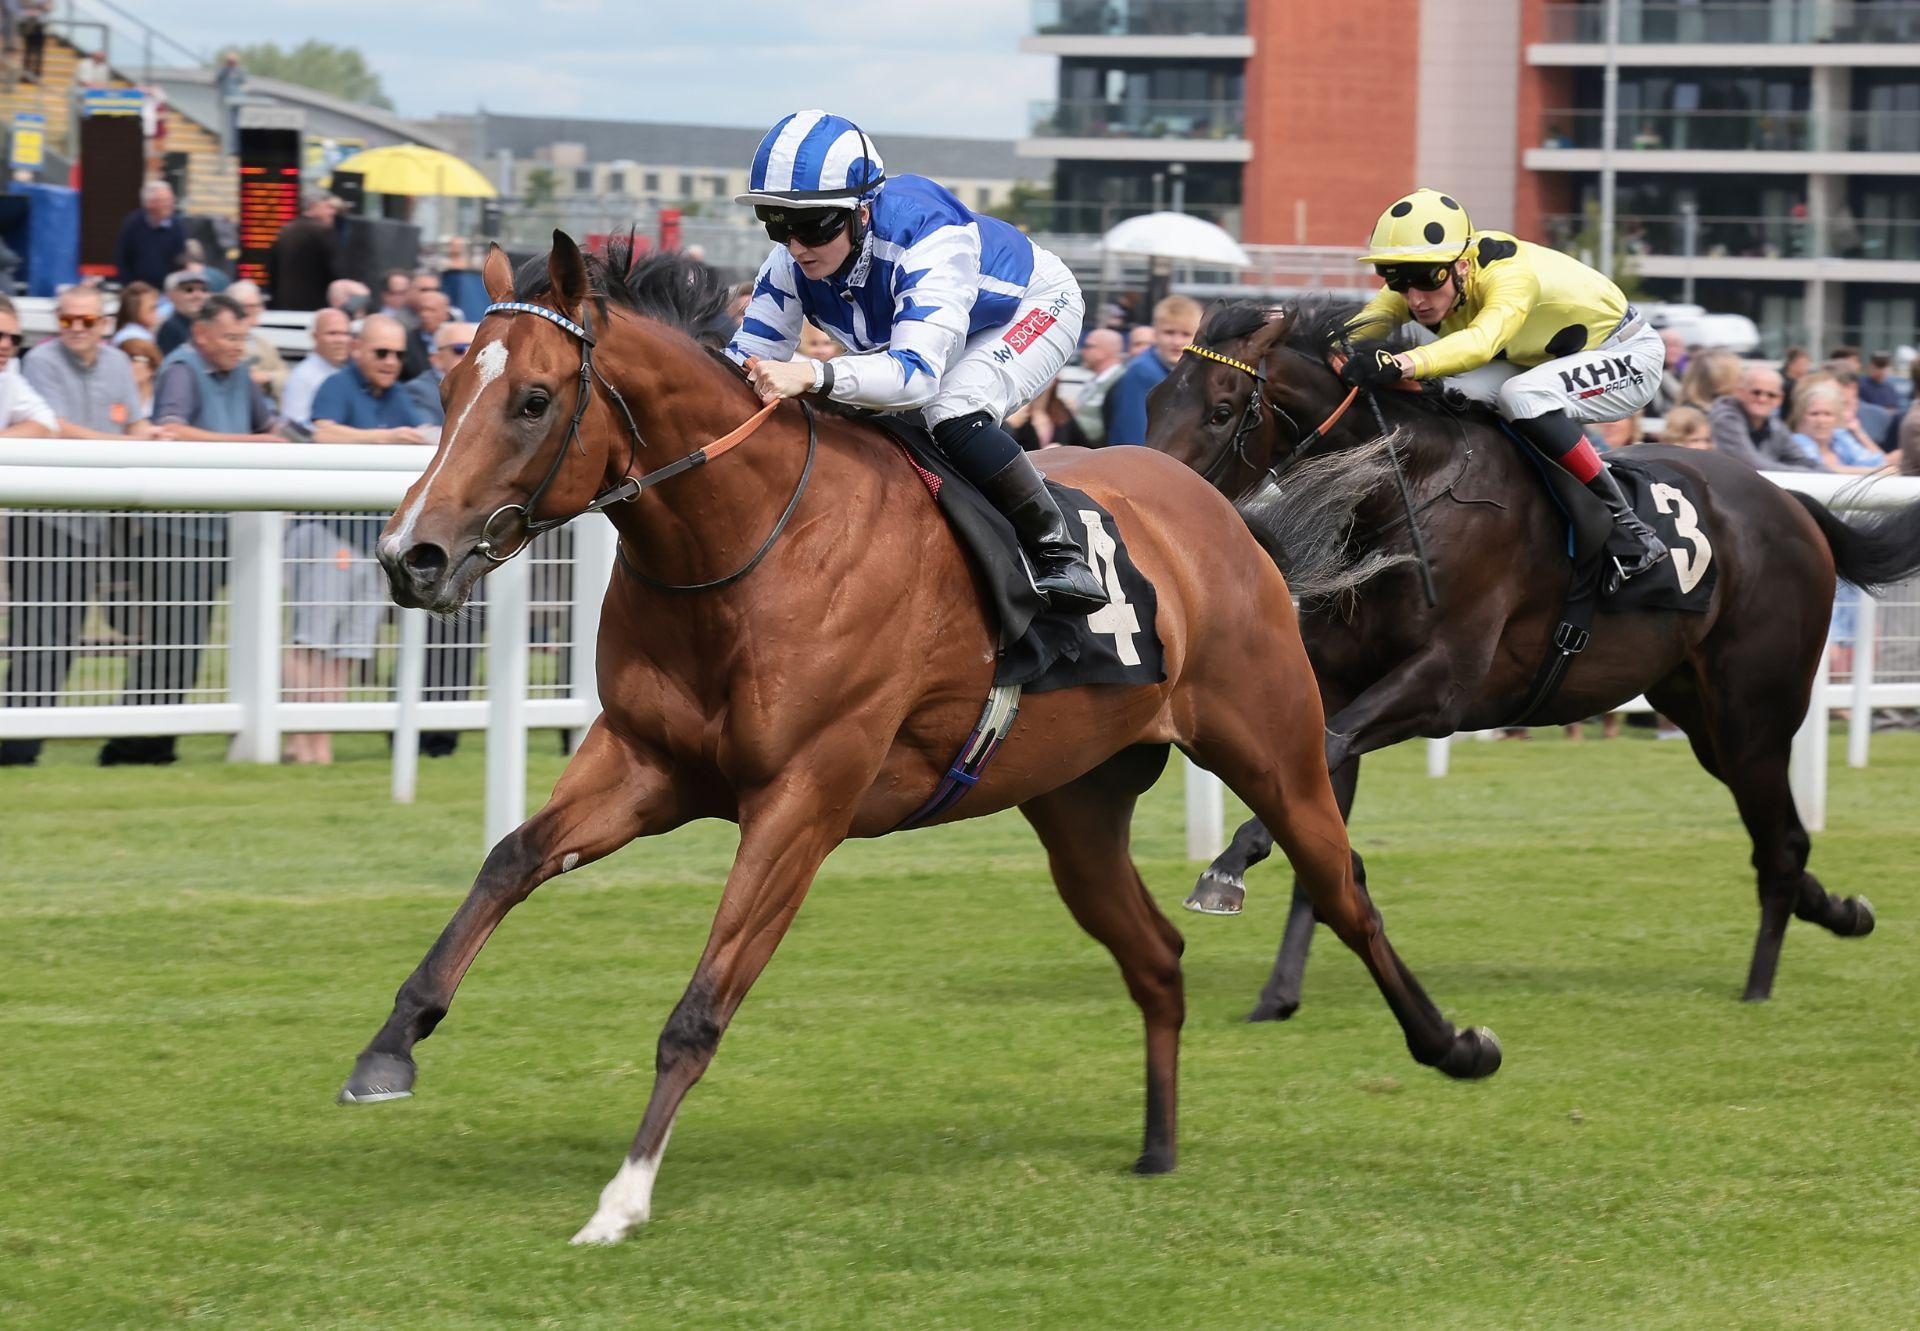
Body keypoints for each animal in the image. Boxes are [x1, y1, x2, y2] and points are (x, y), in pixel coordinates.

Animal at [337, 241, 1497, 1244]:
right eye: (450, 387)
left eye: (533, 401)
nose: (409, 554)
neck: (750, 541)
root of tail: (1227, 516)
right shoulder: (645, 761)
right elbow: (511, 859)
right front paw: (390, 1047)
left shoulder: (804, 796)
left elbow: (701, 1005)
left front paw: (623, 1196)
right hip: (1077, 808)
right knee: (1156, 953)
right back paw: (1158, 1146)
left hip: (1275, 747)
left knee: (1344, 890)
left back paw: (1454, 1046)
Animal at [1144, 301, 1912, 1021]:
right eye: (1153, 401)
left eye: (1220, 410)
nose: (1153, 500)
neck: (1403, 494)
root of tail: (1795, 504)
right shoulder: (1334, 686)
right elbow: (1320, 843)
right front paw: (1277, 994)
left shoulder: (1439, 685)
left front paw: (1224, 870)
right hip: (1702, 717)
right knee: (1783, 835)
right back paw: (1840, 910)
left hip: (1755, 713)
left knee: (1779, 842)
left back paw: (1759, 984)